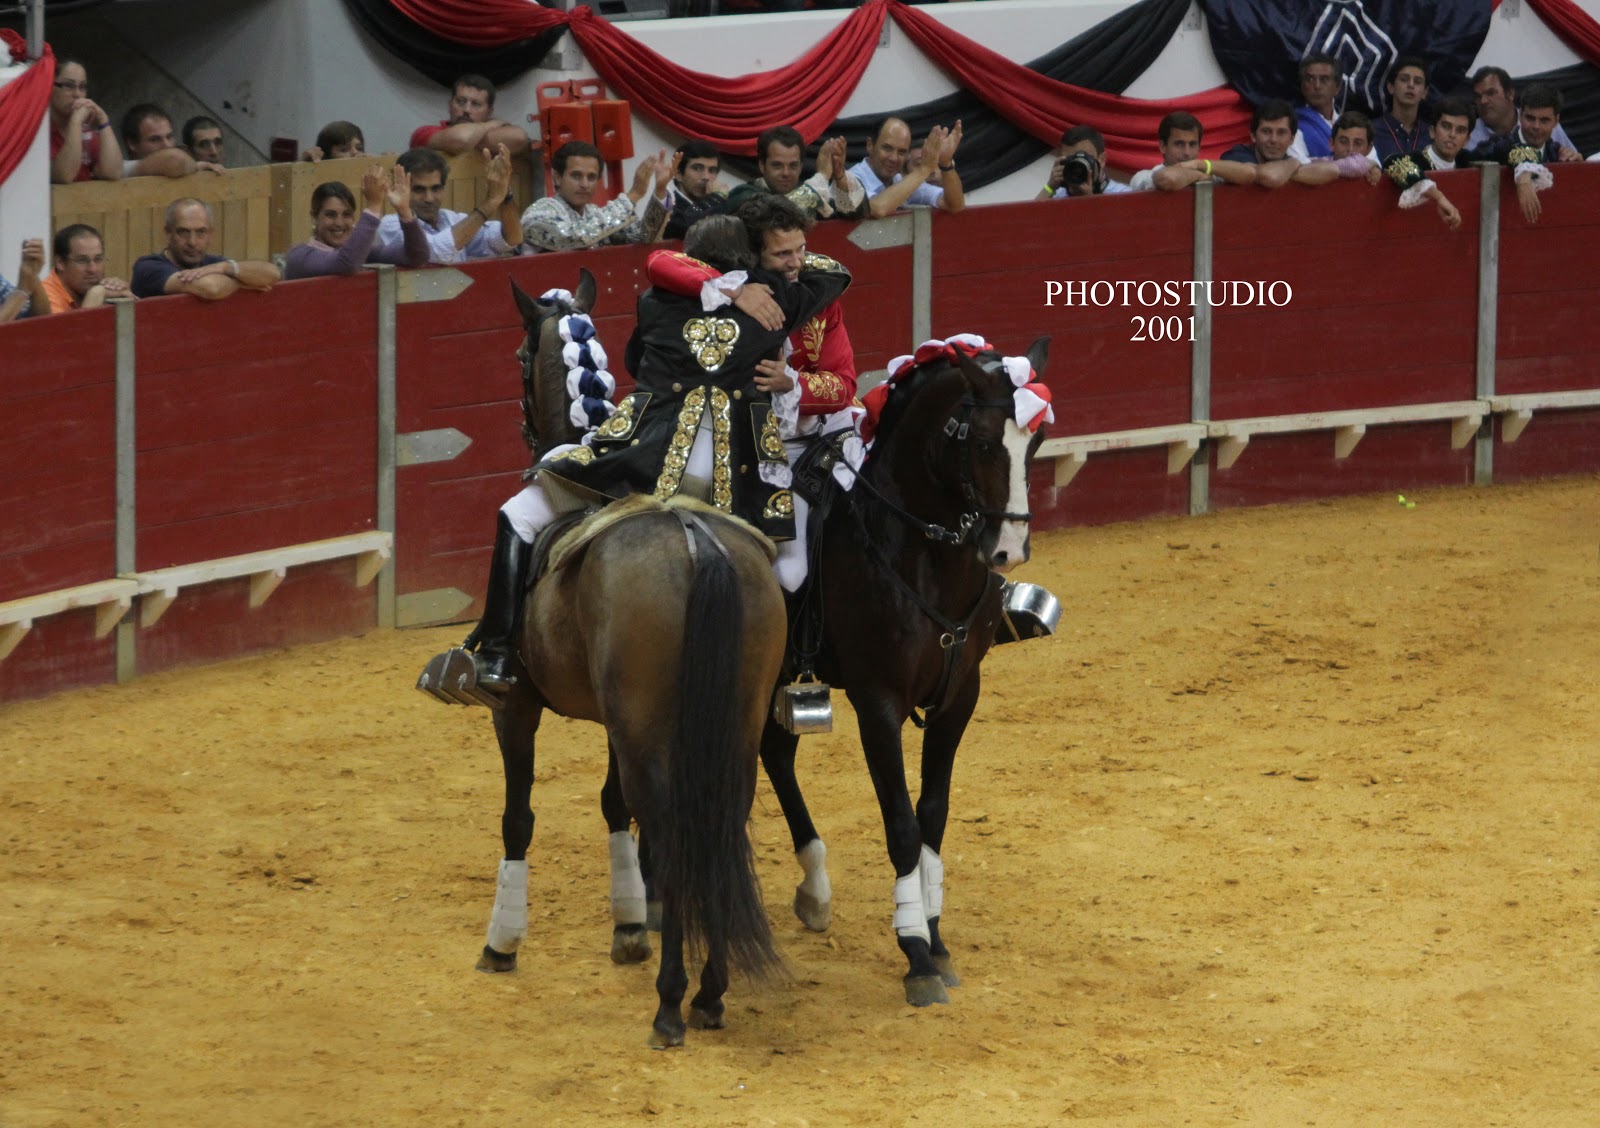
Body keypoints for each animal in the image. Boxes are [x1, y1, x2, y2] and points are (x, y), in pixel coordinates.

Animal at [460, 271, 790, 1048]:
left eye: (519, 357)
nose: (528, 435)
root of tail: (698, 539)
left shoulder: (517, 710)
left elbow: (518, 817)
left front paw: (502, 942)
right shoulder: (618, 720)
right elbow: (612, 803)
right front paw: (630, 926)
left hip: (645, 727)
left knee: (671, 826)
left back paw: (672, 1002)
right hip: (725, 725)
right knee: (717, 820)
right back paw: (710, 992)